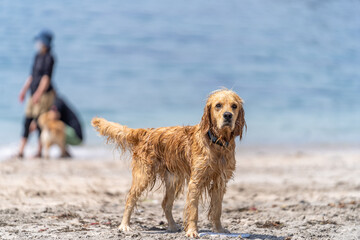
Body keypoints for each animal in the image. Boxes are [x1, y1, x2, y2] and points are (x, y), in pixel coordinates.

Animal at [91, 89, 246, 237]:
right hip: (144, 176)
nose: (228, 115)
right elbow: (193, 210)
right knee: (130, 198)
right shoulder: (196, 181)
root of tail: (145, 132)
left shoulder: (221, 181)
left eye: (234, 106)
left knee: (165, 204)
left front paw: (219, 229)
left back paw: (172, 226)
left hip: (173, 180)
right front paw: (192, 231)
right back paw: (124, 225)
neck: (217, 143)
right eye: (218, 105)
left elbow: (217, 210)